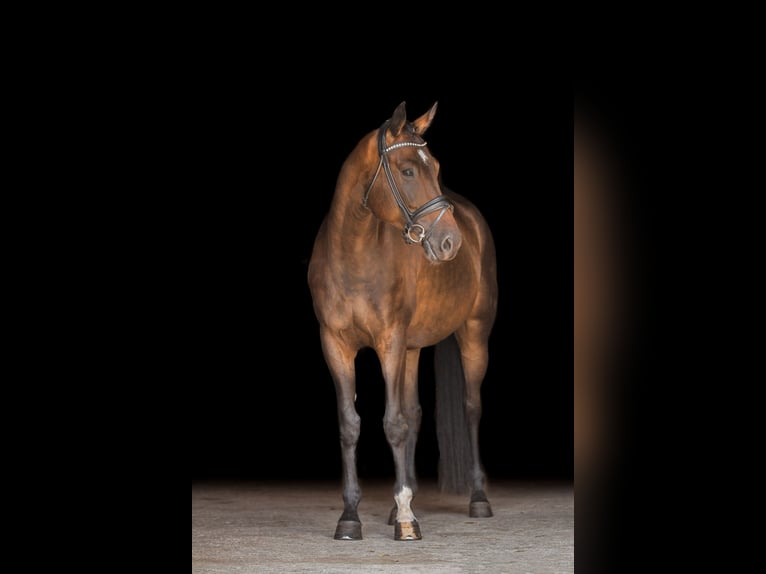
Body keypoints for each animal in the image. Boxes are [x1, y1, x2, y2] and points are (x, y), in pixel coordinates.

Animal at [308, 101, 500, 544]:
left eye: (437, 167)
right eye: (409, 170)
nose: (450, 242)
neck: (354, 255)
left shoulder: (389, 342)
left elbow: (393, 423)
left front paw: (408, 521)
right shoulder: (336, 345)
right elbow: (352, 425)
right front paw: (351, 518)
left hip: (473, 334)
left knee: (471, 407)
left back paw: (477, 499)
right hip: (412, 348)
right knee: (414, 414)